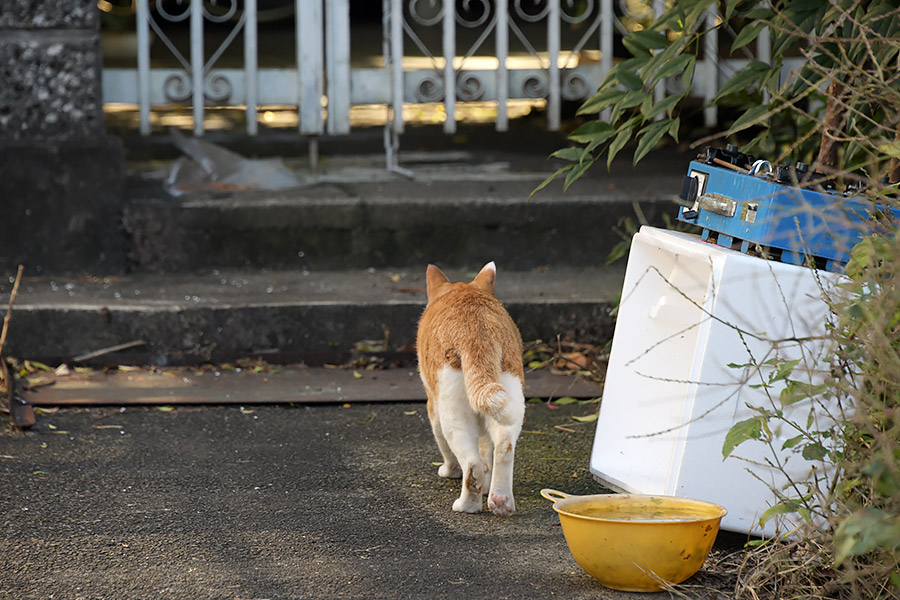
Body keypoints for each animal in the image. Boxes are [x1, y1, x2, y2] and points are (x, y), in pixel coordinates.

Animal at [416, 262, 524, 516]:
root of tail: (478, 331)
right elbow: (486, 449)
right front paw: (486, 484)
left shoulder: (433, 406)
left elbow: (444, 445)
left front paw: (450, 471)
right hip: (510, 398)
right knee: (503, 446)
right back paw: (500, 500)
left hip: (452, 412)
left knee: (471, 462)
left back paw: (467, 505)